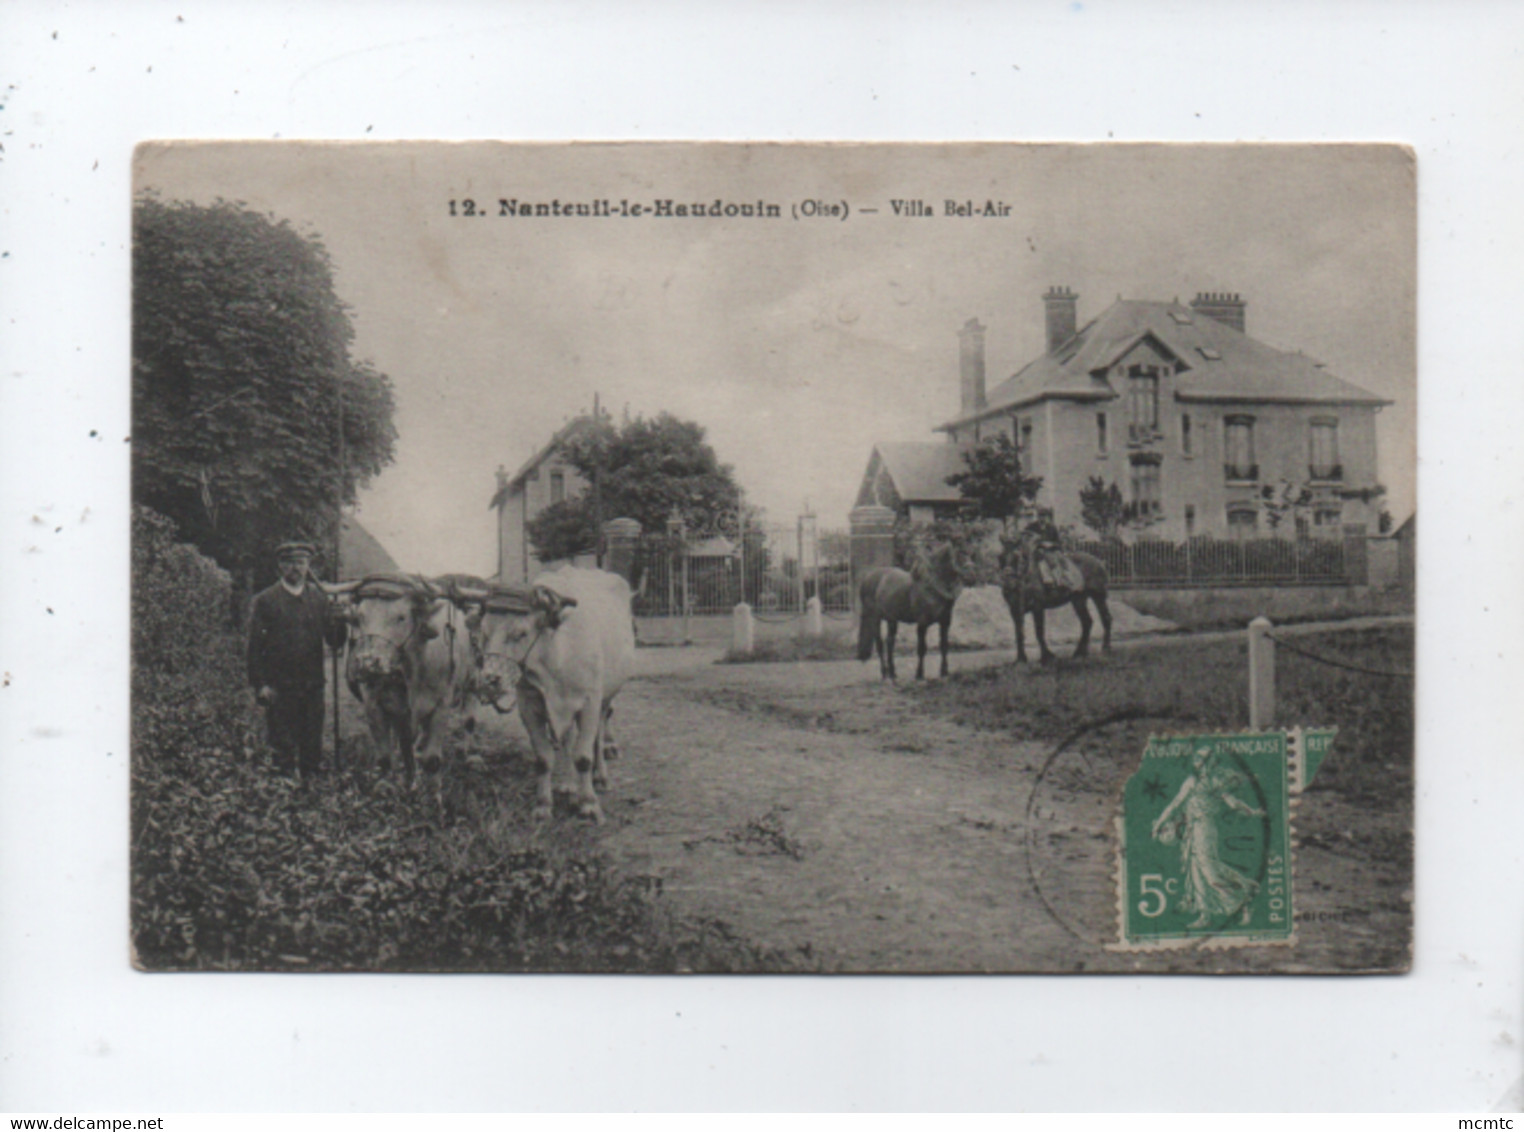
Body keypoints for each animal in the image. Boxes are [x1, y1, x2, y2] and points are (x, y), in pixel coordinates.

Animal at [859, 542, 963, 682]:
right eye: (955, 557)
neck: (931, 588)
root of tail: (867, 578)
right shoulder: (922, 624)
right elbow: (922, 648)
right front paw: (919, 673)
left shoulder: (945, 622)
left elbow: (944, 646)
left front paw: (944, 672)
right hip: (875, 618)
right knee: (880, 643)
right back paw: (884, 672)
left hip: (892, 620)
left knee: (890, 642)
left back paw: (892, 672)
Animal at [999, 530, 1121, 664]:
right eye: (1000, 557)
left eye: (1018, 558)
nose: (1008, 583)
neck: (1026, 576)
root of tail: (1100, 562)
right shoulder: (1015, 610)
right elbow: (1019, 633)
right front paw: (1020, 659)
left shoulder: (1038, 607)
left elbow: (1039, 632)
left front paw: (1047, 656)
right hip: (1078, 599)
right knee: (1087, 622)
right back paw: (1079, 652)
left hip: (1098, 596)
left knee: (1106, 618)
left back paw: (1105, 648)